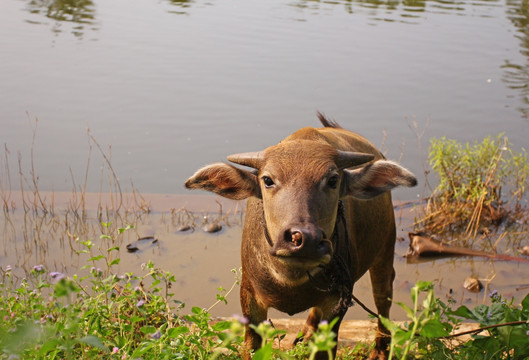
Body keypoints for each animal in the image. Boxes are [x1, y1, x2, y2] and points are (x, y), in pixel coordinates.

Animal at [185, 114, 416, 358]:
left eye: (333, 180)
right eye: (267, 180)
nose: (305, 239)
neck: (290, 277)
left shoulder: (338, 302)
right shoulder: (249, 297)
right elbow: (252, 347)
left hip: (386, 247)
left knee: (383, 298)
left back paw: (381, 348)